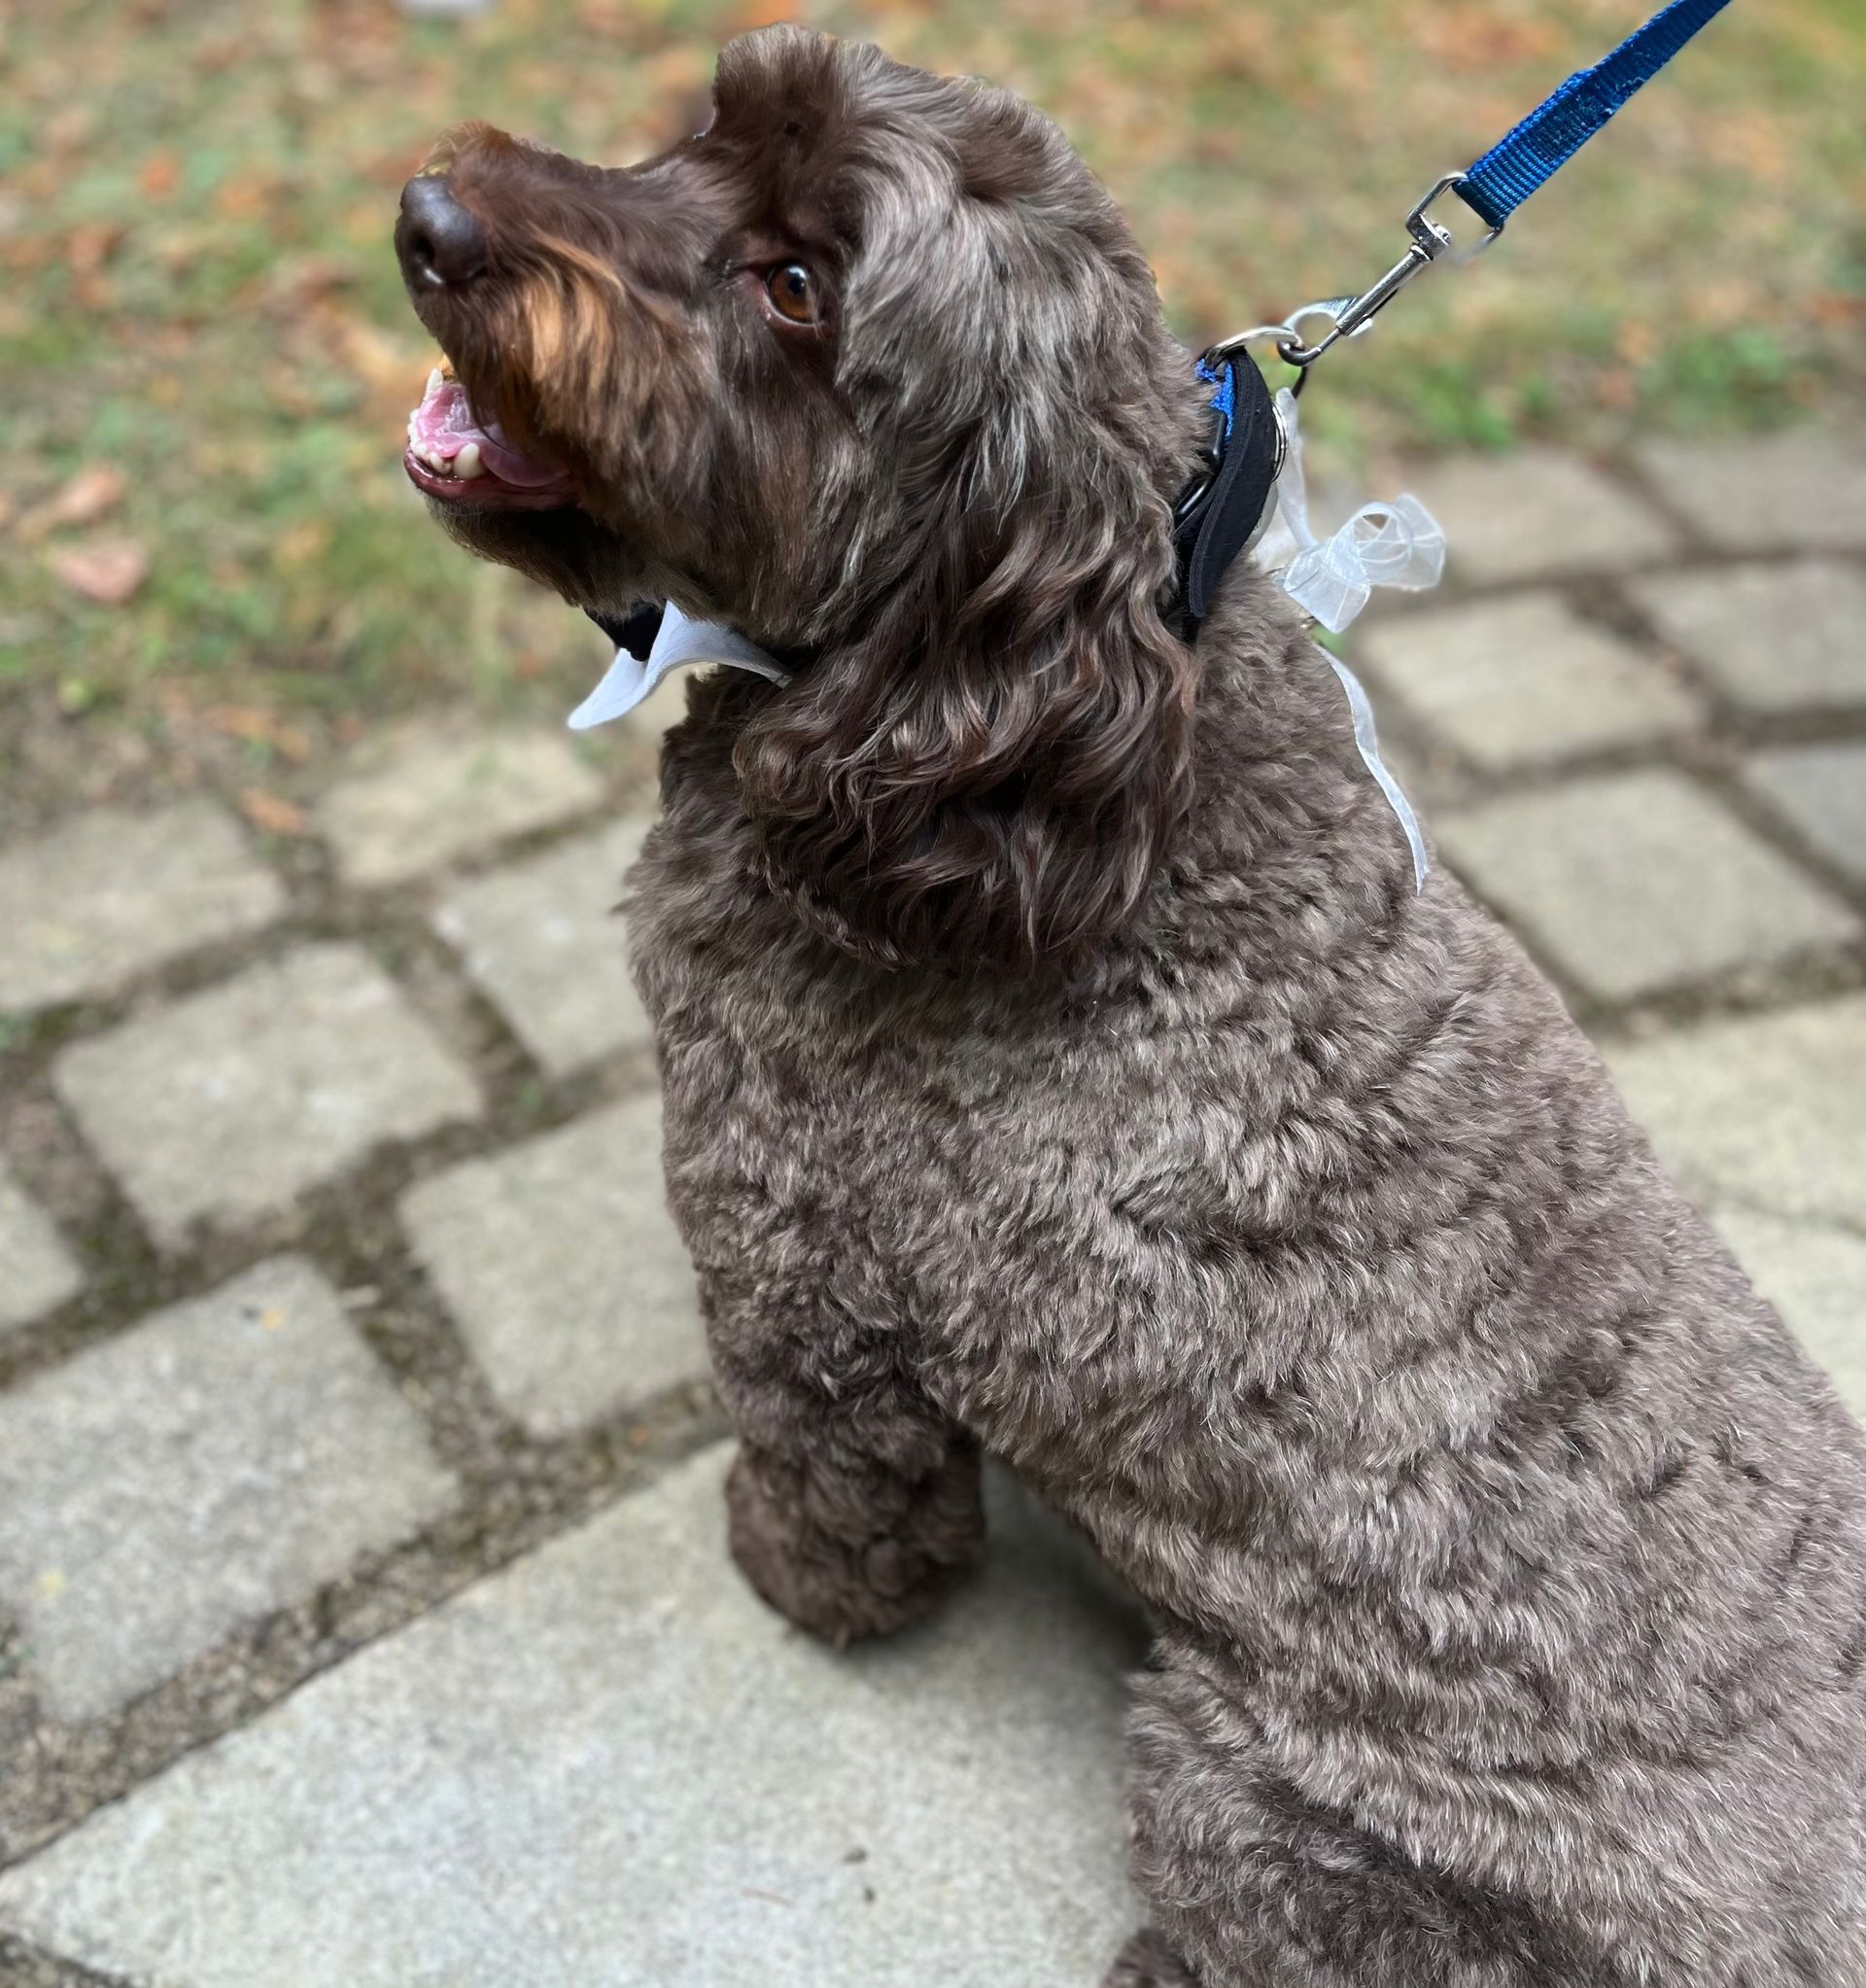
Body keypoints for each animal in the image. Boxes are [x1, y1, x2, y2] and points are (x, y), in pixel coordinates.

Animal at [397, 23, 1866, 1979]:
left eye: (798, 286)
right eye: (706, 126)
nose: (428, 214)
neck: (1025, 765)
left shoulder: (794, 1248)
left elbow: (833, 1475)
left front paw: (787, 1574)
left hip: (1247, 1796)